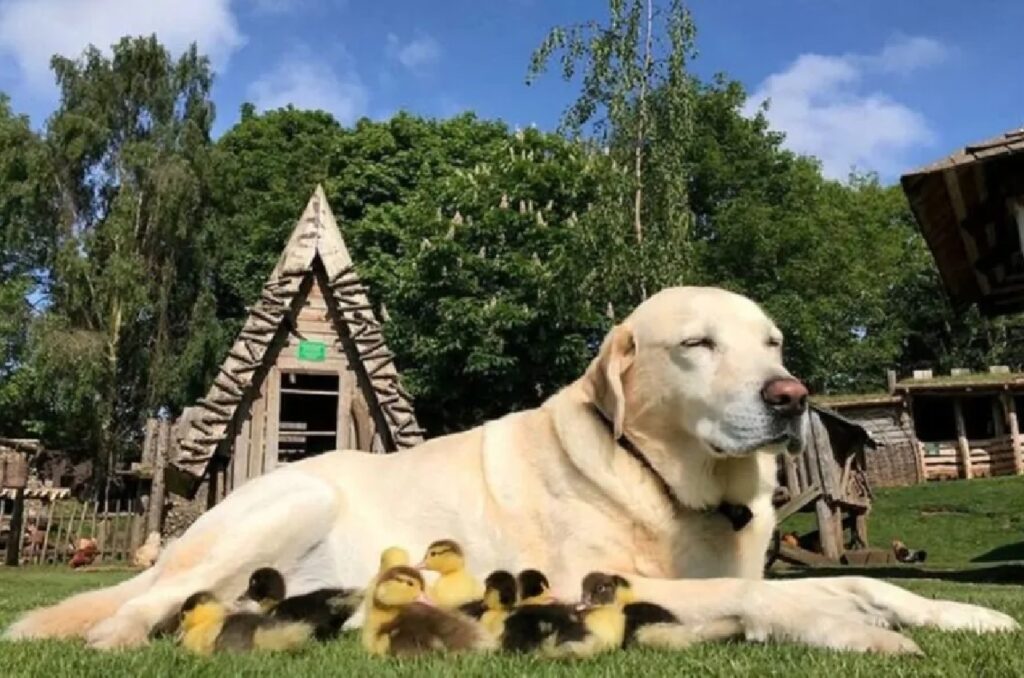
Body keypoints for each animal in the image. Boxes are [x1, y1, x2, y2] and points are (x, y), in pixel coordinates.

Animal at [8, 286, 1015, 655]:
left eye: (771, 342)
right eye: (697, 345)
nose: (790, 394)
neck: (672, 485)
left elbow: (869, 581)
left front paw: (960, 614)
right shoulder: (590, 580)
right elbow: (779, 593)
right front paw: (841, 624)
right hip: (290, 496)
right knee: (135, 614)